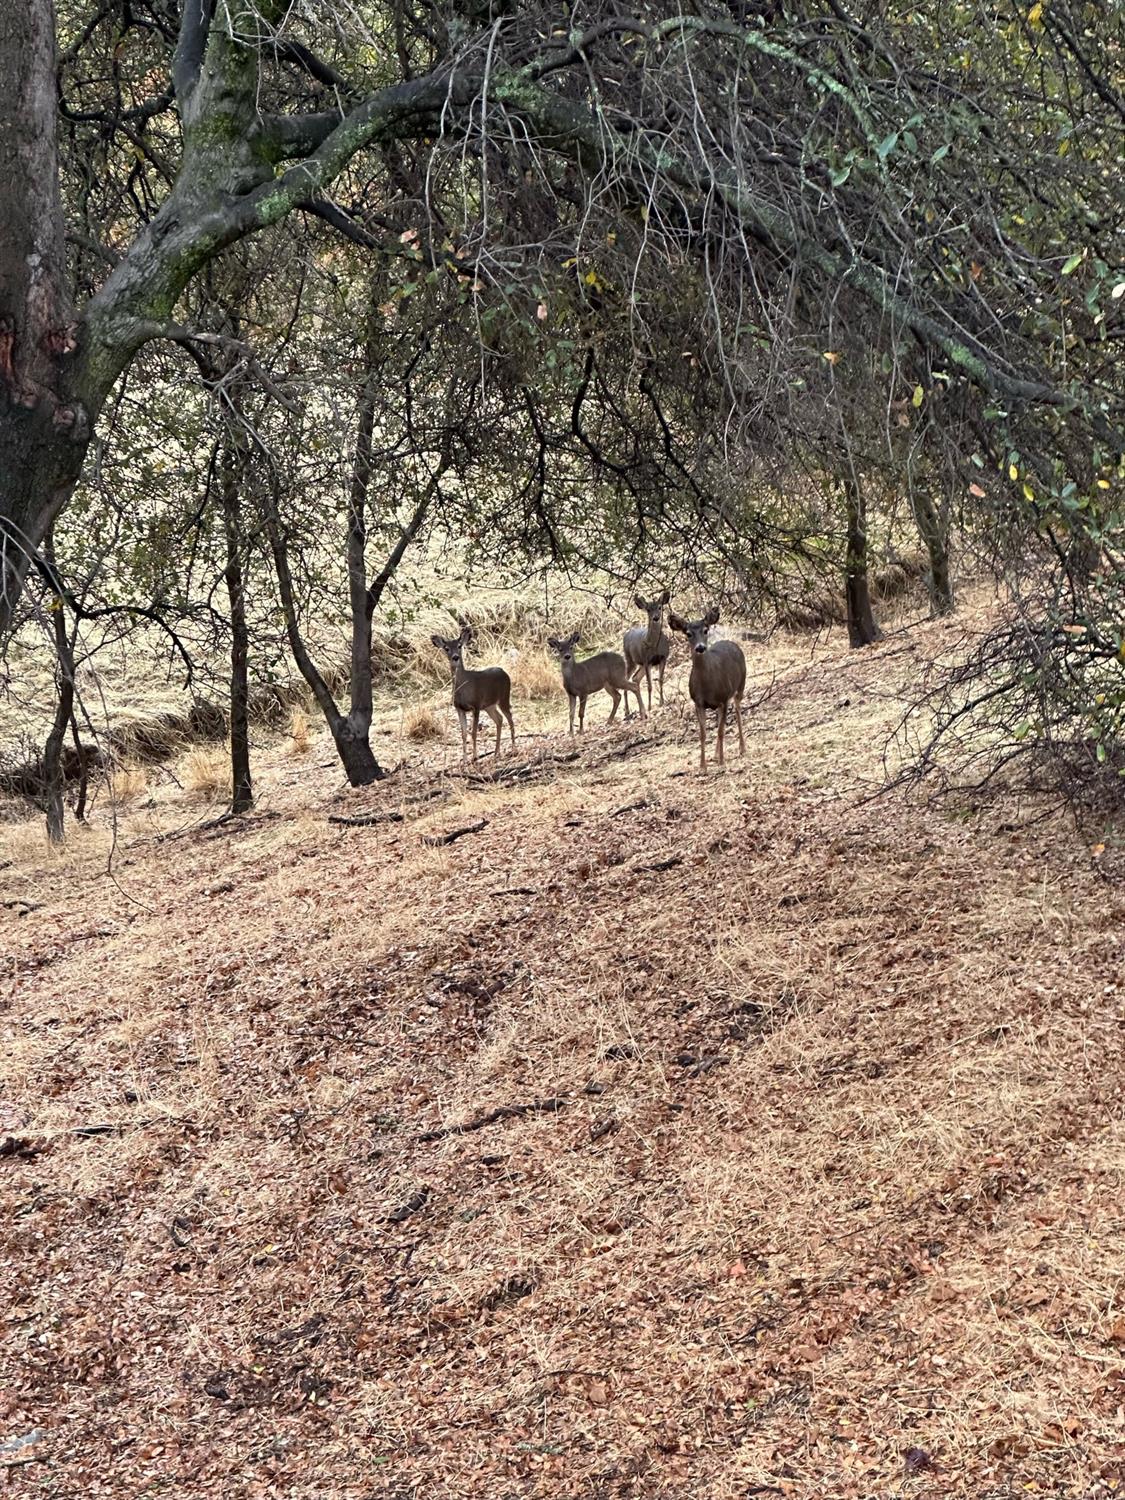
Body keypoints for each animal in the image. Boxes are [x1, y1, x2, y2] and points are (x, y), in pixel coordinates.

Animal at [435, 621, 519, 762]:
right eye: (446, 648)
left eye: (459, 646)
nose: (455, 657)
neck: (463, 688)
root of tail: (504, 672)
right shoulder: (459, 708)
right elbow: (463, 734)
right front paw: (464, 760)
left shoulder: (476, 705)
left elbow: (473, 733)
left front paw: (475, 757)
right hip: (489, 705)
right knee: (499, 719)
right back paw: (496, 752)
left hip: (504, 697)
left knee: (510, 719)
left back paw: (513, 749)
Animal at [669, 603, 750, 774]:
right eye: (688, 633)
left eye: (705, 630)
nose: (700, 647)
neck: (707, 685)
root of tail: (732, 643)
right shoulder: (698, 703)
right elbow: (703, 734)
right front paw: (702, 766)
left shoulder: (724, 699)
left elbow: (720, 731)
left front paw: (722, 763)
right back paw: (715, 754)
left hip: (740, 686)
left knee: (738, 712)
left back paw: (742, 748)